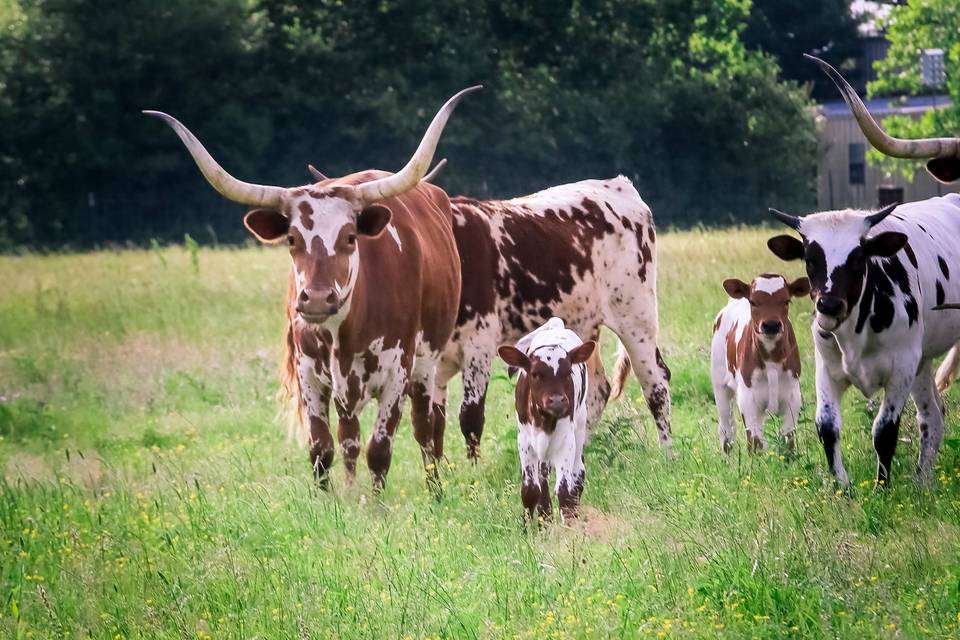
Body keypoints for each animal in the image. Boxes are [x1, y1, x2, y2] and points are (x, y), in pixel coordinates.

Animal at [143, 87, 480, 492]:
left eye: (350, 237)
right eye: (291, 238)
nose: (317, 298)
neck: (343, 333)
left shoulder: (397, 372)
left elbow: (380, 450)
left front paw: (374, 503)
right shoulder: (310, 375)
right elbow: (323, 449)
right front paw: (337, 500)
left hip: (425, 366)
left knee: (425, 429)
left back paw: (434, 490)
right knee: (351, 436)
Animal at [498, 318, 596, 524]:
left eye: (568, 372)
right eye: (535, 374)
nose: (557, 400)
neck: (543, 420)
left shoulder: (565, 442)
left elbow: (565, 491)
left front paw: (570, 525)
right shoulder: (525, 442)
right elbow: (529, 490)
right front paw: (527, 527)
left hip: (579, 427)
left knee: (578, 473)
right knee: (543, 475)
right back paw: (545, 516)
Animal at [712, 274, 808, 450]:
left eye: (787, 301)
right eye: (753, 301)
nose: (771, 325)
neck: (772, 359)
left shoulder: (793, 397)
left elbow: (788, 441)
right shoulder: (748, 400)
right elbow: (755, 443)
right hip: (720, 386)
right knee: (727, 431)